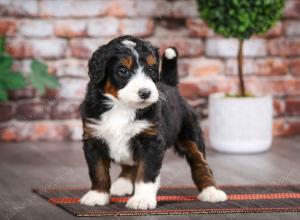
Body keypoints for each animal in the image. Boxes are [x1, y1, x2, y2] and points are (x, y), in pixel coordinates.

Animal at [79, 34, 227, 210]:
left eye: (151, 69)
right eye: (123, 71)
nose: (145, 93)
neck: (121, 107)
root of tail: (171, 86)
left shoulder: (150, 140)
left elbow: (146, 172)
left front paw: (142, 199)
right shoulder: (93, 137)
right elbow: (98, 170)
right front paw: (97, 195)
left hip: (190, 135)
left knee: (200, 162)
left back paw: (211, 190)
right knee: (130, 165)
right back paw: (122, 184)